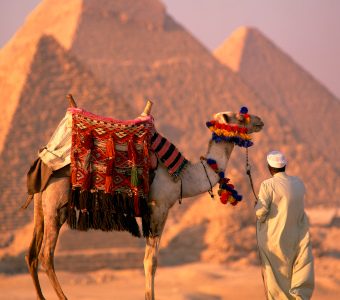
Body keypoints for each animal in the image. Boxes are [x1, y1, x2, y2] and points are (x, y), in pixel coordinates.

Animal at [25, 99, 264, 298]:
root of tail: (43, 160)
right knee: (46, 254)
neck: (182, 177)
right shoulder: (160, 207)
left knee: (32, 254)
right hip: (57, 202)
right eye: (241, 116)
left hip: (41, 202)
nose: (260, 121)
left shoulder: (149, 212)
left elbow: (147, 259)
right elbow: (151, 262)